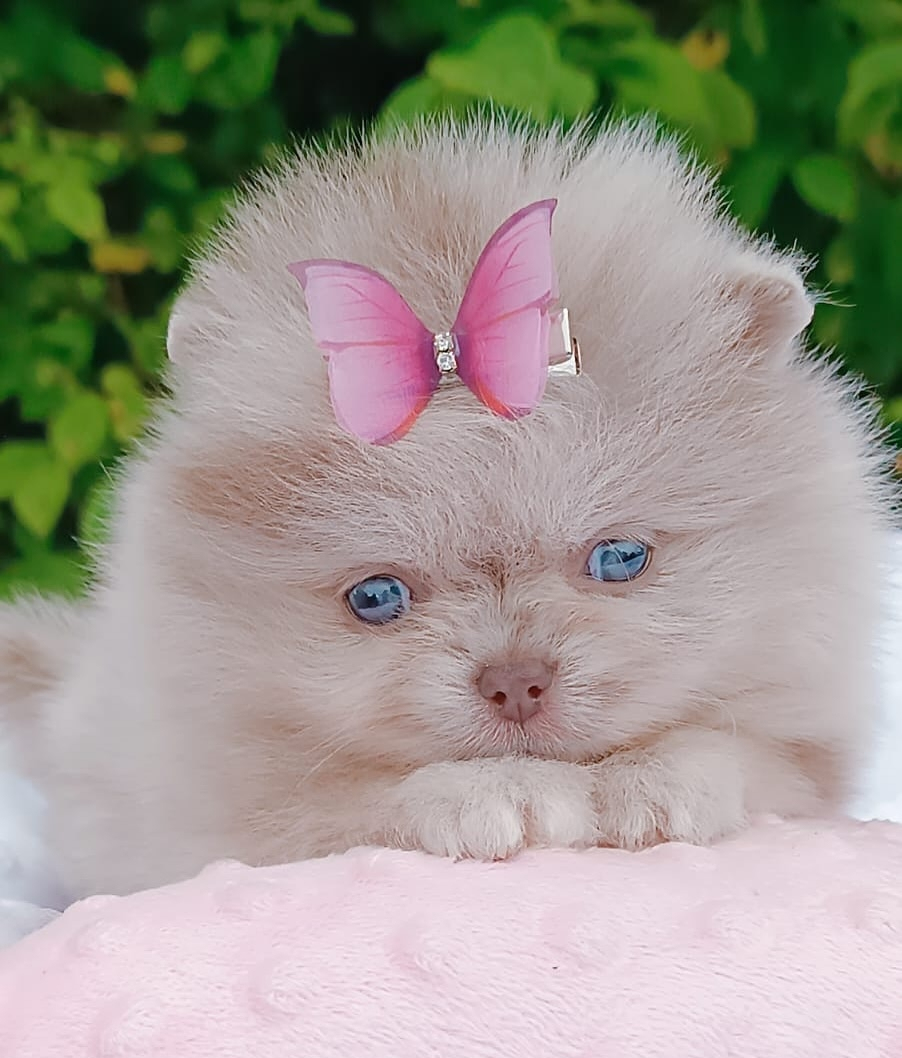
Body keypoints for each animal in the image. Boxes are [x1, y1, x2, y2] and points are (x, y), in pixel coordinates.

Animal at [0, 117, 891, 899]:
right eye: (376, 597)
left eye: (620, 558)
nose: (516, 681)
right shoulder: (229, 817)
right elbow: (364, 800)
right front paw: (498, 793)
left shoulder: (805, 746)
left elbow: (741, 750)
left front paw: (656, 783)